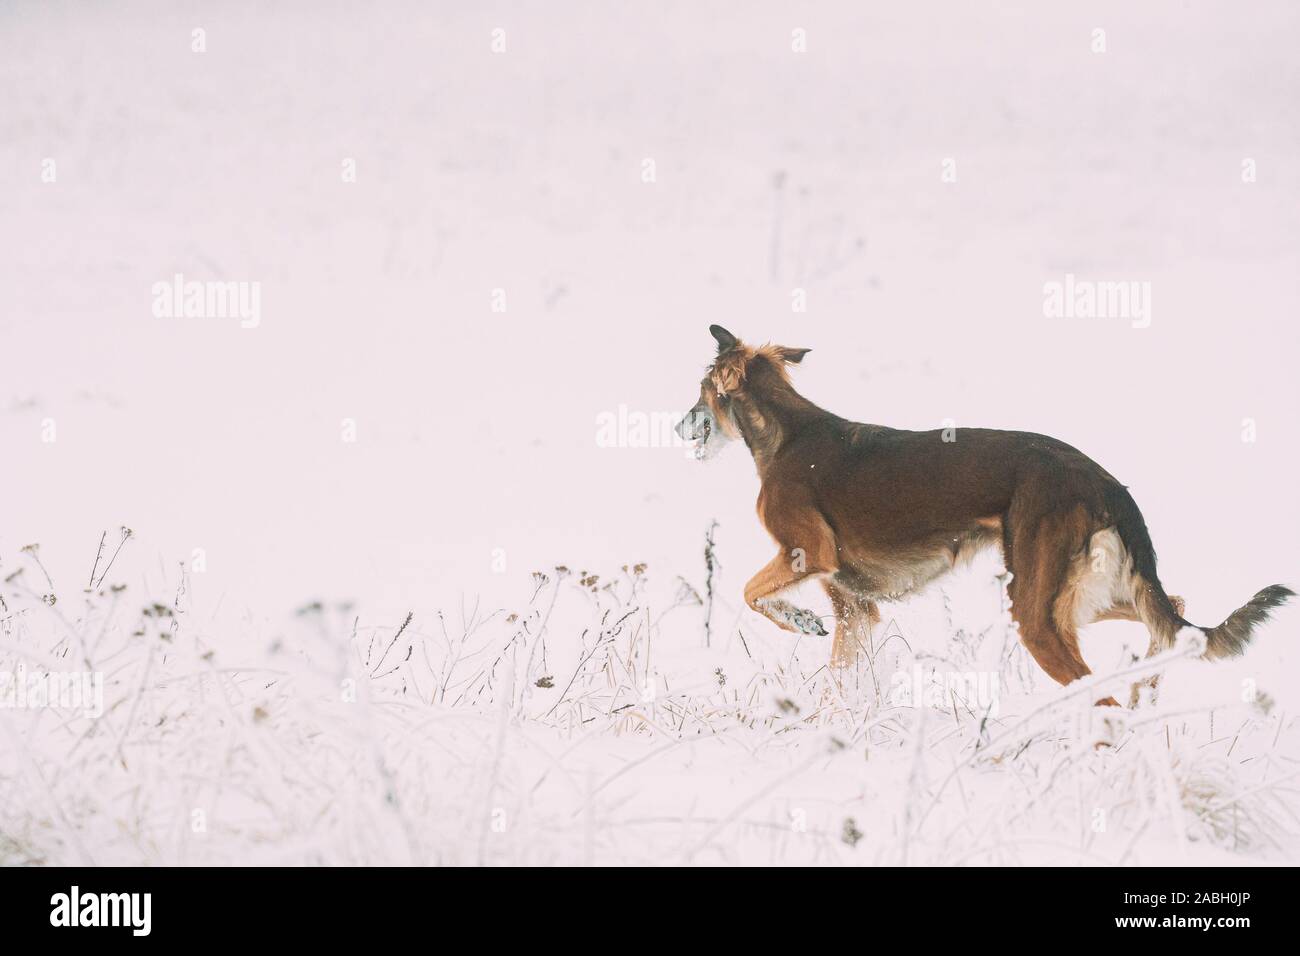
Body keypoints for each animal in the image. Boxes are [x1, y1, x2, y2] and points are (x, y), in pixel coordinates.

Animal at [681, 325, 1289, 707]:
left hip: (1036, 610)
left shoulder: (808, 553)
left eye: (701, 392)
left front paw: (799, 620)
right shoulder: (857, 610)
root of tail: (1102, 480)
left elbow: (749, 592)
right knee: (1174, 615)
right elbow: (836, 682)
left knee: (1103, 697)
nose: (676, 427)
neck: (784, 434)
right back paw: (1148, 692)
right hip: (1077, 598)